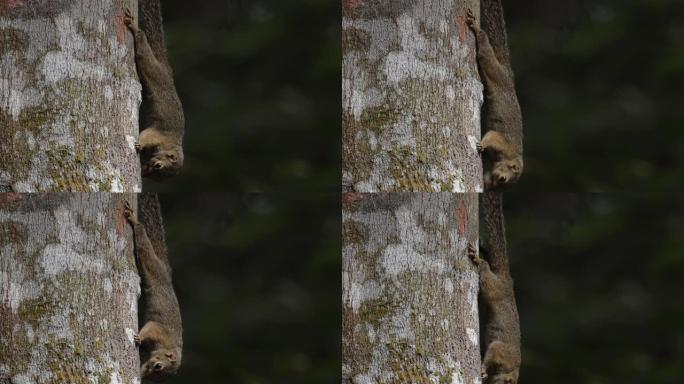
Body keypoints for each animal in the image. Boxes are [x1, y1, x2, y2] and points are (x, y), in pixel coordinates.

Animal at [123, 198, 182, 380]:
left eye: (156, 374)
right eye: (158, 366)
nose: (147, 373)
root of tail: (168, 276)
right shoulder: (160, 332)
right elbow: (150, 327)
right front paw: (139, 337)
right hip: (155, 268)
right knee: (145, 248)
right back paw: (135, 221)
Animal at [124, 1, 184, 180]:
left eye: (156, 175)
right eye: (158, 166)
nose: (146, 171)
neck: (172, 144)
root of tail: (167, 70)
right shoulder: (160, 134)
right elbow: (147, 135)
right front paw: (140, 143)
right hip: (157, 74)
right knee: (144, 54)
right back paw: (136, 28)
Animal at [464, 1, 524, 189]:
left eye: (501, 182)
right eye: (504, 178)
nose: (497, 182)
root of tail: (510, 79)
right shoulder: (504, 145)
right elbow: (493, 136)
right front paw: (482, 144)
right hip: (497, 75)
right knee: (486, 55)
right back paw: (477, 28)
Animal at [468, 192, 520, 384]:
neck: (510, 369)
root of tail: (508, 281)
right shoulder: (500, 352)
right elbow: (493, 353)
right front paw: (483, 369)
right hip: (494, 288)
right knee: (486, 276)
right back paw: (479, 260)